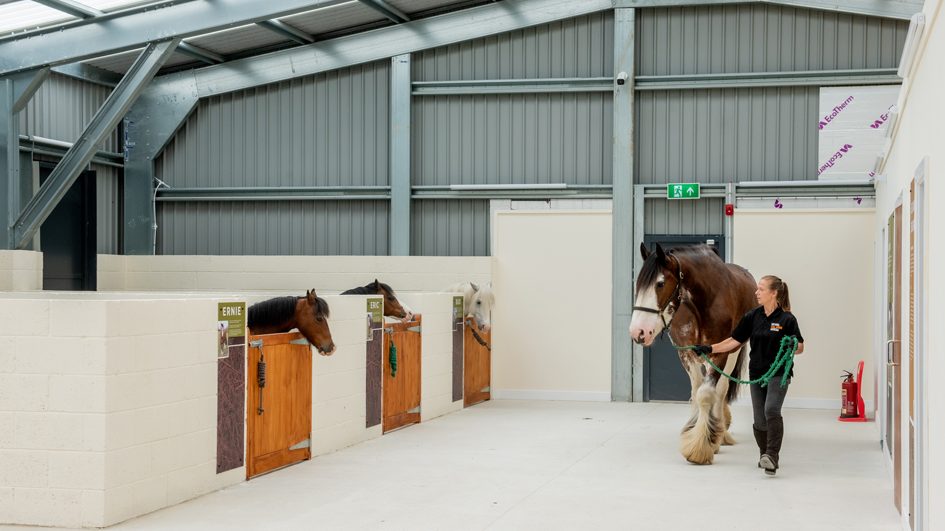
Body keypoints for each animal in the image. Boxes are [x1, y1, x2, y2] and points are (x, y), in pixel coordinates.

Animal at [632, 245, 756, 466]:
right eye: (637, 284)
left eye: (660, 283)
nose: (638, 331)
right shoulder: (687, 354)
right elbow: (696, 391)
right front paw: (693, 431)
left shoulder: (720, 353)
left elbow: (706, 394)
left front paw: (700, 447)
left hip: (733, 352)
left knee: (721, 390)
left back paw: (720, 434)